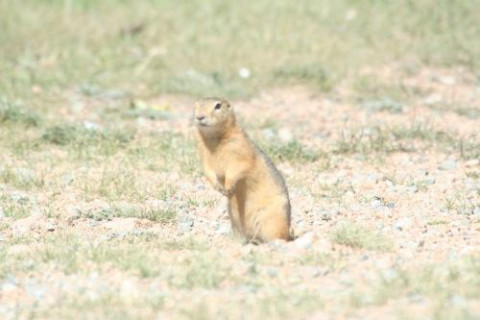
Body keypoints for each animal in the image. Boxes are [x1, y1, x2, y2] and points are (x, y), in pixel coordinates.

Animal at [193, 98, 290, 242]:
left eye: (218, 106)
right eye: (196, 105)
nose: (199, 117)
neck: (215, 138)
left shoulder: (239, 149)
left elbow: (238, 167)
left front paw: (228, 187)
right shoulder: (204, 154)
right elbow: (208, 170)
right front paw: (218, 187)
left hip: (273, 219)